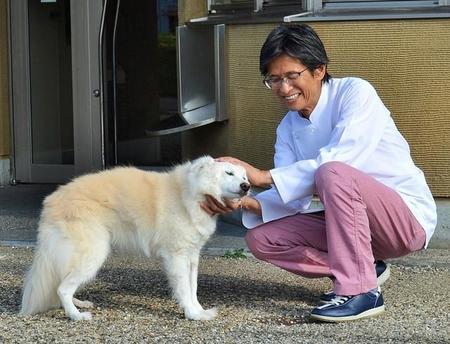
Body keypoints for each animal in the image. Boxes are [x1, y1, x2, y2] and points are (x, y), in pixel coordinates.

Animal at [20, 157, 250, 322]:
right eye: (229, 173)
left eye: (244, 176)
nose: (246, 186)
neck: (190, 194)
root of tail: (52, 201)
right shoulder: (176, 257)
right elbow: (184, 289)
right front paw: (192, 315)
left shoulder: (192, 257)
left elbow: (192, 288)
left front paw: (199, 311)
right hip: (92, 254)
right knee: (63, 288)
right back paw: (76, 315)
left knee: (62, 284)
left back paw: (79, 304)